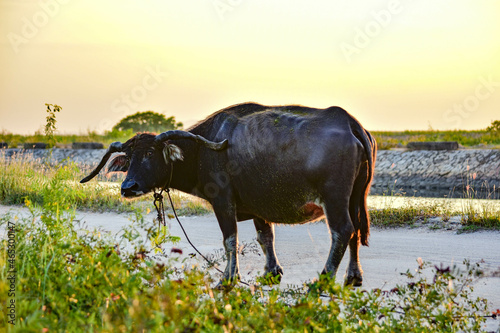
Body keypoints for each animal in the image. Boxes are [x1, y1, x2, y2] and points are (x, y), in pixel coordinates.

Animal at [82, 103, 376, 286]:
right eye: (129, 157)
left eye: (151, 153)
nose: (128, 187)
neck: (201, 151)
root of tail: (350, 123)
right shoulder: (258, 205)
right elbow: (265, 237)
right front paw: (271, 273)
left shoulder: (223, 202)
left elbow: (230, 240)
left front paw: (227, 278)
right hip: (355, 197)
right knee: (355, 230)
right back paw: (353, 277)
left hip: (334, 198)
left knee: (342, 230)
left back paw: (322, 281)